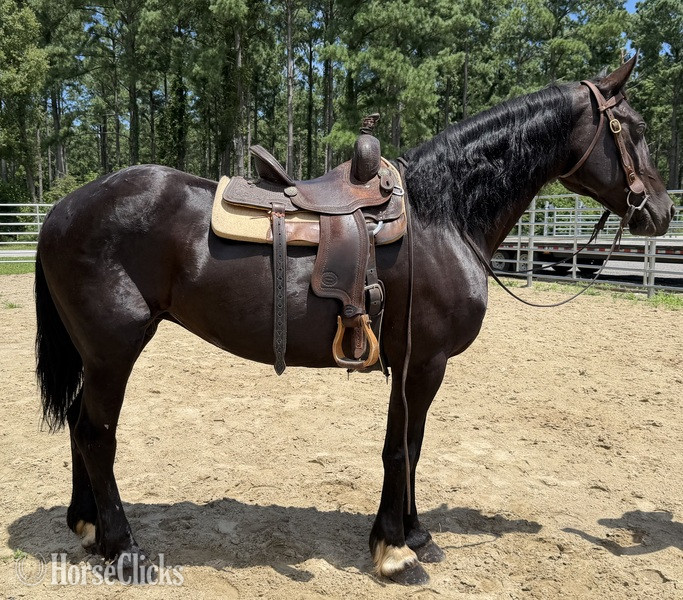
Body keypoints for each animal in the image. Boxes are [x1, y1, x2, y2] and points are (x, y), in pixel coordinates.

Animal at [34, 56, 674, 584]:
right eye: (637, 129)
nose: (664, 212)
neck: (442, 215)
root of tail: (63, 209)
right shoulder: (424, 362)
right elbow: (401, 448)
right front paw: (394, 551)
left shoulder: (413, 363)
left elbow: (411, 444)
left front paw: (414, 534)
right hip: (113, 350)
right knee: (96, 434)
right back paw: (123, 550)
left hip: (97, 355)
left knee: (79, 425)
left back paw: (87, 527)